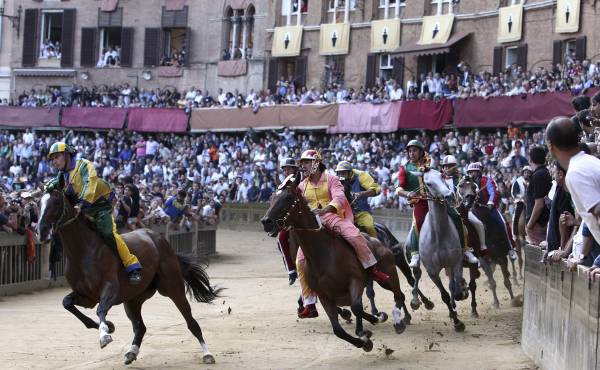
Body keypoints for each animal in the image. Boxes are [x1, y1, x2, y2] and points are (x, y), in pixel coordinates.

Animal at [35, 176, 223, 364]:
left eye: (56, 203)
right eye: (39, 204)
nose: (40, 232)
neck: (83, 252)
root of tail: (159, 239)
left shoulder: (111, 288)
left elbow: (100, 309)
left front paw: (105, 335)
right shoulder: (86, 296)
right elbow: (67, 303)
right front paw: (109, 326)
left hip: (172, 286)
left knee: (191, 322)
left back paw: (207, 354)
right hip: (133, 298)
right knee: (140, 327)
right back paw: (131, 352)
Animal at [260, 175, 410, 352]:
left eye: (288, 197)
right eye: (272, 197)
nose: (266, 221)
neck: (323, 253)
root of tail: (377, 241)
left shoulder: (356, 280)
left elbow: (357, 307)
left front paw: (368, 326)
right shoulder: (325, 296)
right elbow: (338, 329)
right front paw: (364, 340)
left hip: (388, 275)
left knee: (399, 294)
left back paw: (399, 320)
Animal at [408, 168, 468, 332]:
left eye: (442, 176)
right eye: (428, 183)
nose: (449, 195)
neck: (439, 234)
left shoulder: (456, 262)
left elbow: (456, 287)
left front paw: (461, 293)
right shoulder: (432, 271)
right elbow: (444, 295)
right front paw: (457, 322)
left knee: (453, 283)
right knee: (416, 273)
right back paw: (416, 301)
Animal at [458, 178, 516, 308]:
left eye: (474, 186)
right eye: (461, 186)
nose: (470, 198)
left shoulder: (501, 256)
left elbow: (506, 281)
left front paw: (514, 300)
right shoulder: (483, 259)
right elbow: (492, 281)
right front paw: (496, 303)